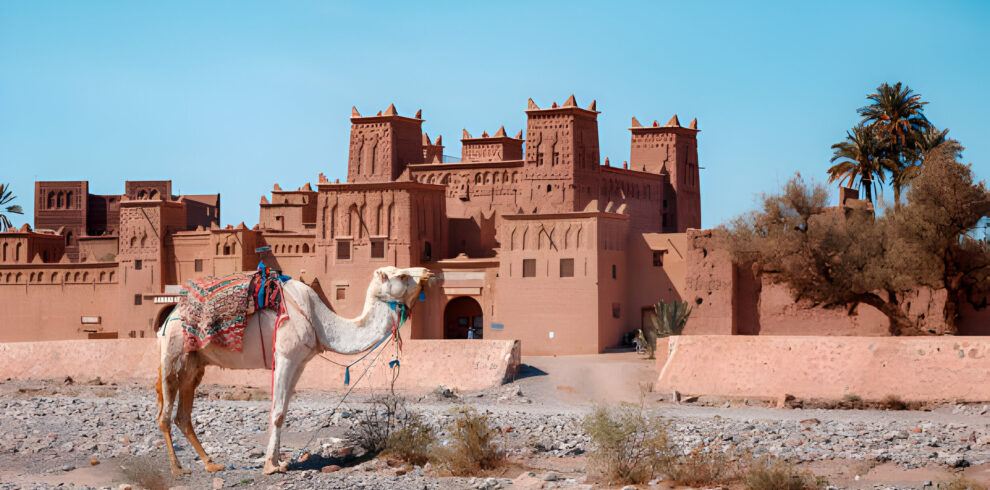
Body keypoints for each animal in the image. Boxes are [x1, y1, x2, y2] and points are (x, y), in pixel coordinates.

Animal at [155, 266, 433, 476]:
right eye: (402, 275)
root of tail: (171, 314)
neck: (320, 322)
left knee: (183, 415)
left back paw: (211, 463)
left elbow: (284, 410)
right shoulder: (285, 356)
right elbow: (277, 412)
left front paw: (280, 461)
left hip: (194, 365)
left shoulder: (299, 363)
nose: (427, 272)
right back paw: (177, 468)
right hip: (173, 352)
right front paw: (270, 466)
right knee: (165, 414)